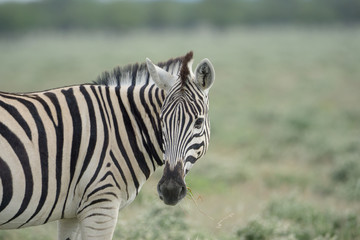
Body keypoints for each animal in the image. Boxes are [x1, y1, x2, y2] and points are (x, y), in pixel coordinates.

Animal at [0, 51, 214, 239]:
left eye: (198, 122)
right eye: (161, 121)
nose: (170, 190)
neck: (123, 127)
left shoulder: (72, 213)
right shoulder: (101, 204)